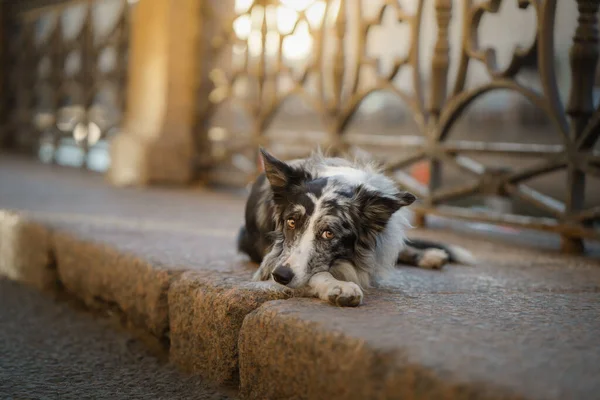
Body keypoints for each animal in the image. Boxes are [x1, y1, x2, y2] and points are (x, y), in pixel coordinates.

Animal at [237, 148, 476, 308]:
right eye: (291, 222)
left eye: (328, 233)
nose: (281, 276)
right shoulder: (269, 263)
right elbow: (317, 273)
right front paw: (338, 286)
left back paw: (429, 255)